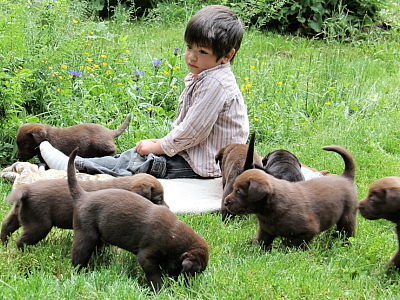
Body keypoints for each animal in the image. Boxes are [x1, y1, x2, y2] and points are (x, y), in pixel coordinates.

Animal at [0, 173, 166, 248]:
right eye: (158, 200)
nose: (168, 209)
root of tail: (26, 188)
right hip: (39, 224)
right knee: (22, 239)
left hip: (19, 213)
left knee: (7, 226)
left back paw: (3, 244)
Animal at [67, 149, 208, 292]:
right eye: (195, 272)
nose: (190, 287)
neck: (174, 236)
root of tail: (83, 195)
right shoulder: (147, 257)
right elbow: (155, 276)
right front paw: (159, 290)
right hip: (86, 235)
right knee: (79, 257)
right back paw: (81, 274)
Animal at [223, 145, 358, 248]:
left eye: (239, 192)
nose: (225, 202)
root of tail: (344, 177)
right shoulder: (266, 231)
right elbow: (260, 242)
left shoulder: (308, 230)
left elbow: (293, 245)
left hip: (347, 216)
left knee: (347, 231)